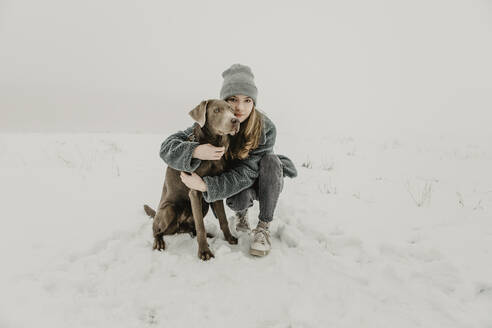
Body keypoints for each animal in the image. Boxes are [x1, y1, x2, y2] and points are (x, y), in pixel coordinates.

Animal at [143, 98, 239, 260]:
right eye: (216, 110)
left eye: (232, 110)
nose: (235, 120)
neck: (213, 143)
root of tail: (179, 229)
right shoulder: (194, 191)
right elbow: (200, 225)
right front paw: (204, 252)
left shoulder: (213, 189)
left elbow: (223, 219)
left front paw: (229, 238)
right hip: (168, 210)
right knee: (157, 230)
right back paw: (159, 242)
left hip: (203, 205)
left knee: (193, 228)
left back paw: (208, 234)